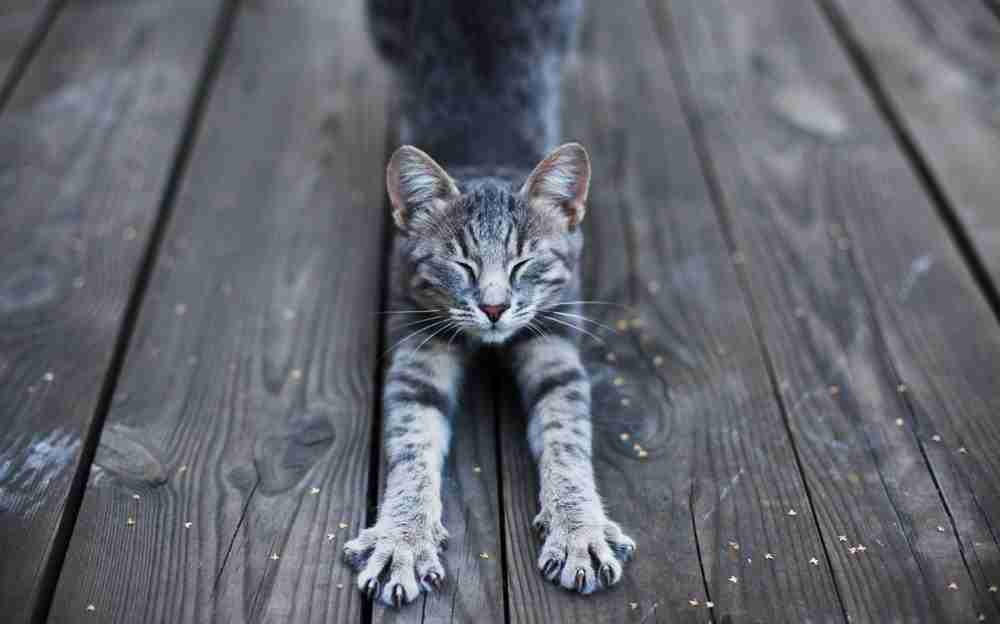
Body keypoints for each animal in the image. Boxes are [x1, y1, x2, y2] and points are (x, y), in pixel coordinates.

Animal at [344, 0, 636, 604]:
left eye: (525, 263)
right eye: (461, 265)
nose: (496, 309)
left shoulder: (555, 338)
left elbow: (567, 439)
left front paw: (580, 531)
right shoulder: (417, 345)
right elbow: (412, 443)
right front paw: (402, 539)